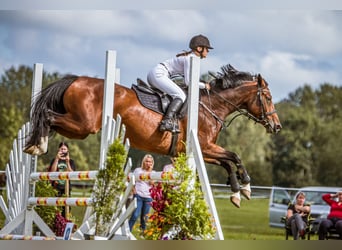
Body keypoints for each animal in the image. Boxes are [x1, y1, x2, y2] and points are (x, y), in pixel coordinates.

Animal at [23, 64, 280, 207]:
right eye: (267, 97)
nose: (276, 126)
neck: (210, 106)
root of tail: (76, 79)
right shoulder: (204, 147)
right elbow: (235, 156)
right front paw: (245, 186)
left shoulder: (202, 151)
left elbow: (227, 162)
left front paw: (237, 192)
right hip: (83, 126)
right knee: (47, 115)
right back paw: (38, 145)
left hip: (77, 128)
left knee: (50, 118)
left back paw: (35, 144)